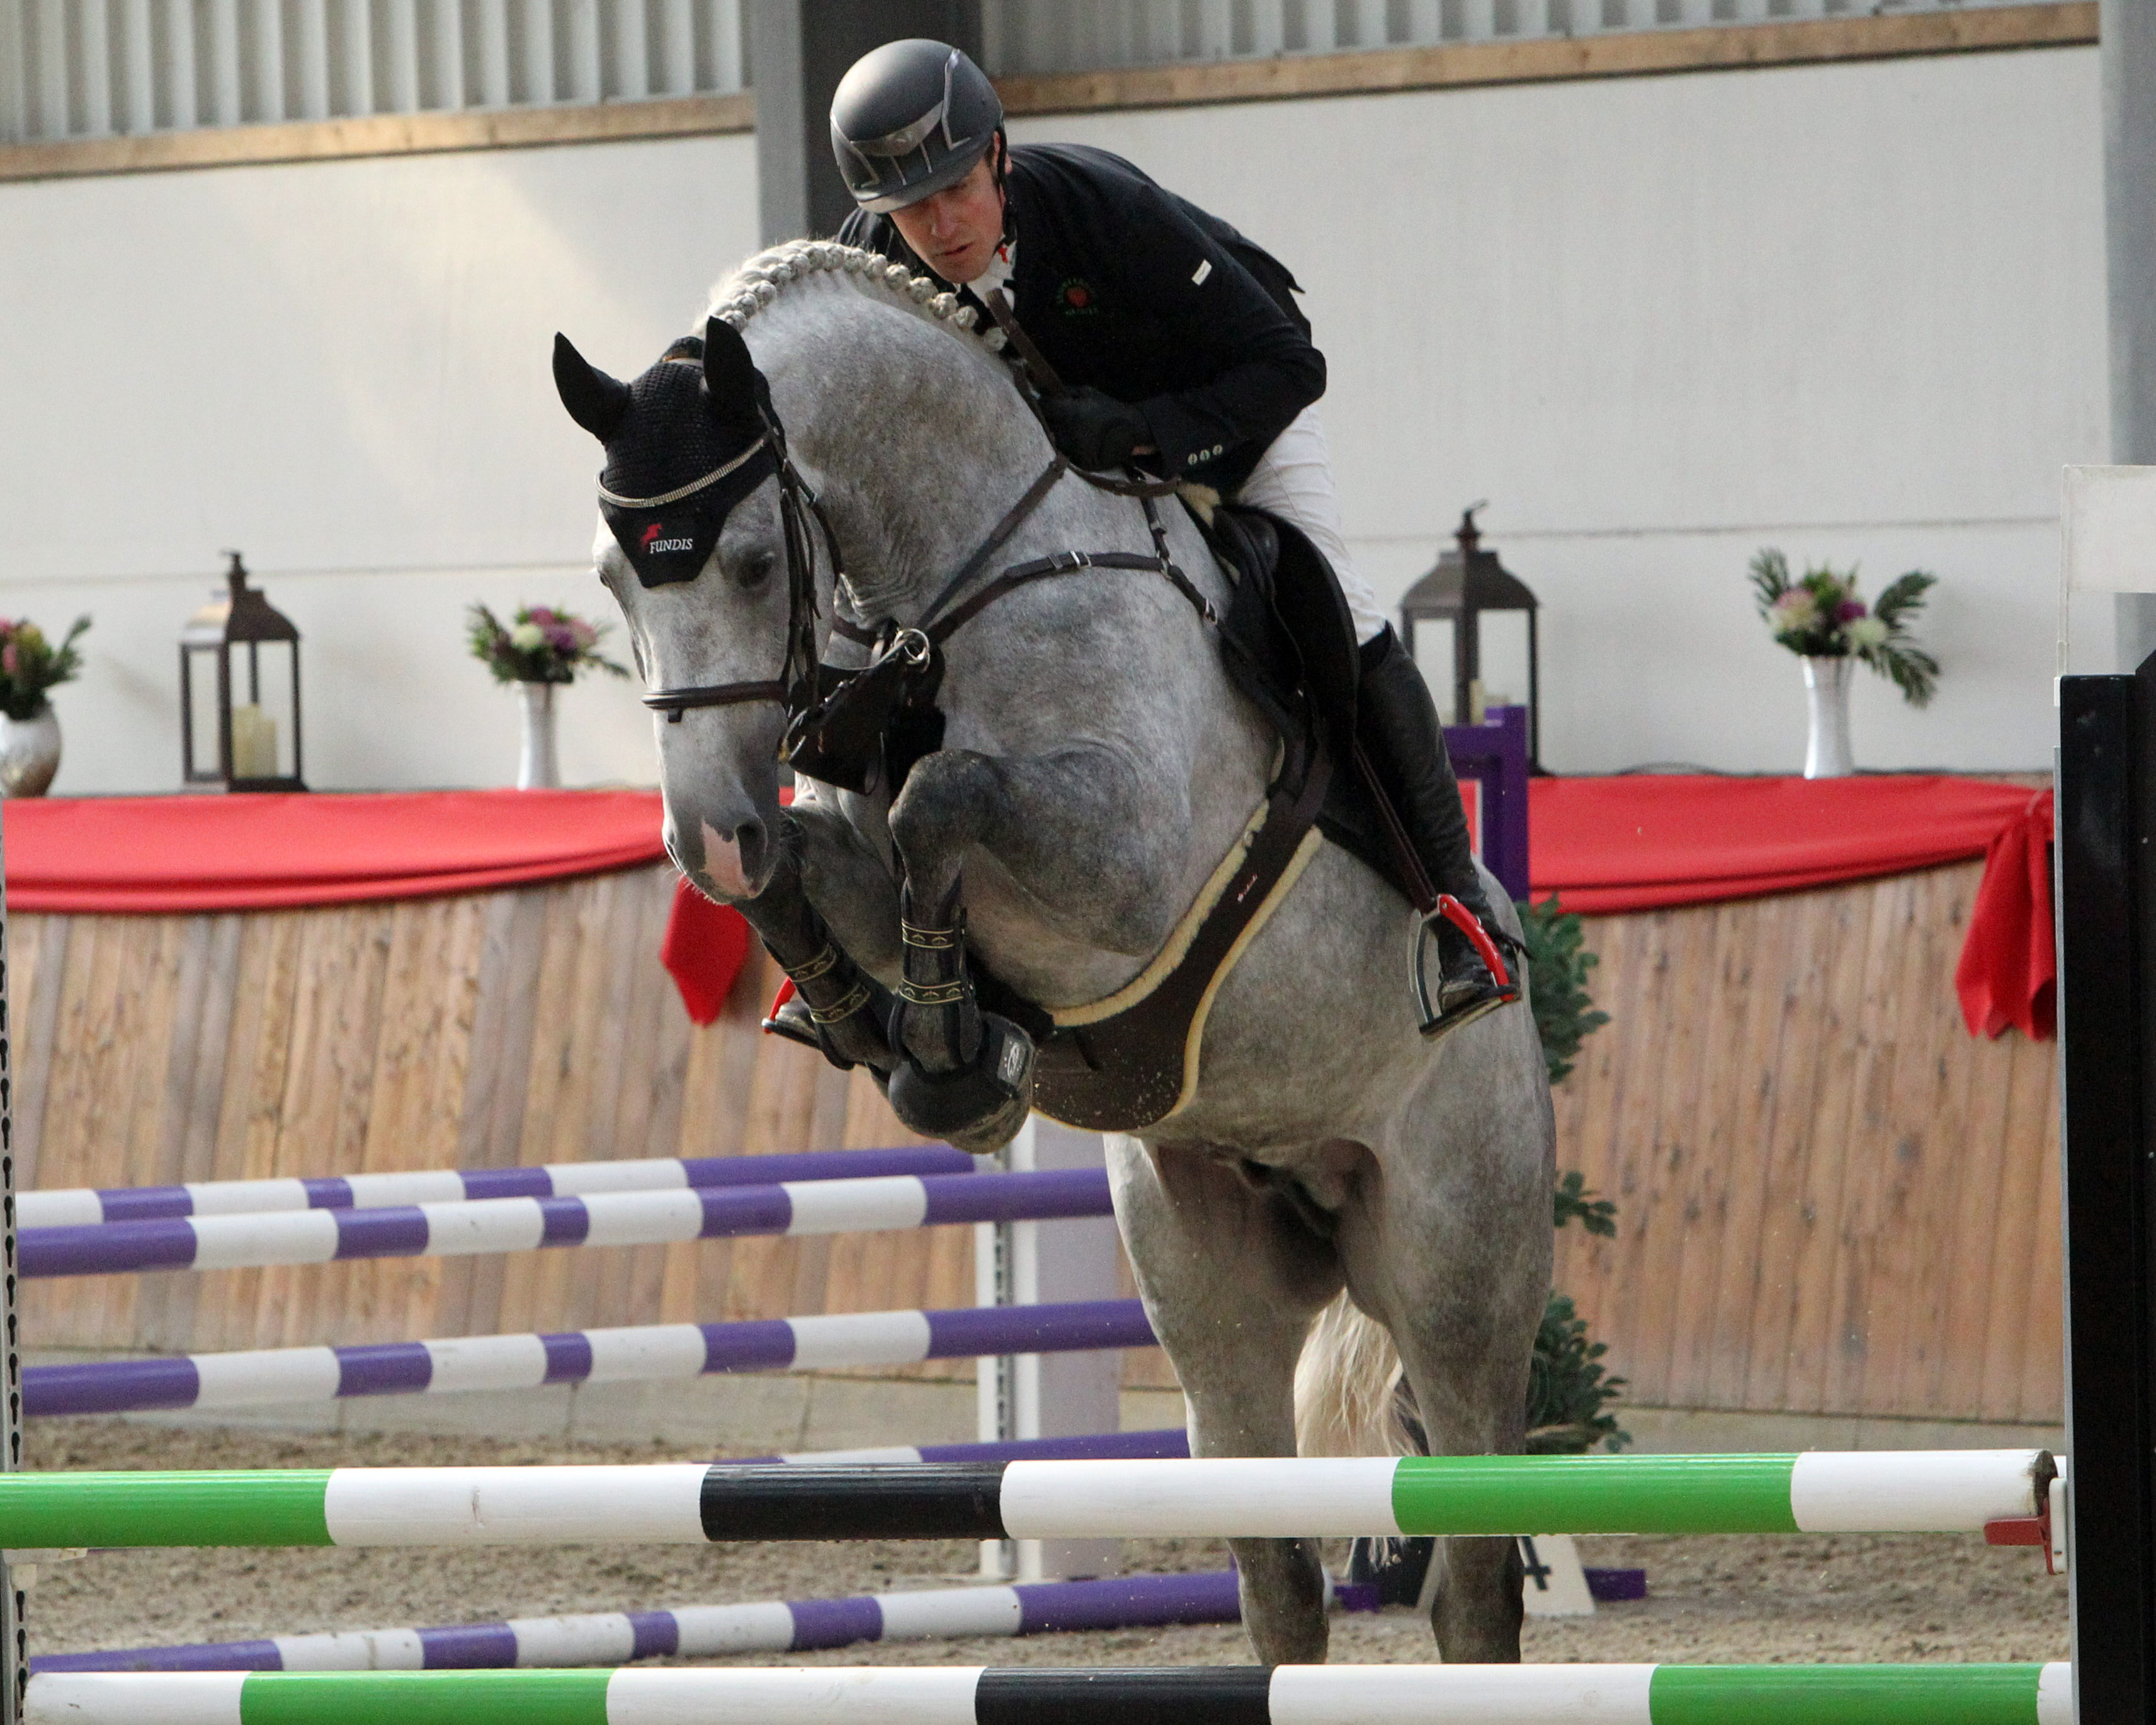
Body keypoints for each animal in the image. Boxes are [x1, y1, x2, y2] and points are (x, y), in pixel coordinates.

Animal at [560, 239, 1552, 1656]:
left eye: (749, 564)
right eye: (612, 576)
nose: (705, 835)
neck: (965, 581)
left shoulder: (1127, 861)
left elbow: (944, 799)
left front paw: (947, 1051)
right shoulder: (850, 852)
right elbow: (821, 859)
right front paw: (878, 1022)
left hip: (1454, 1269)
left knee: (1471, 1571)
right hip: (1207, 1273)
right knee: (1278, 1573)